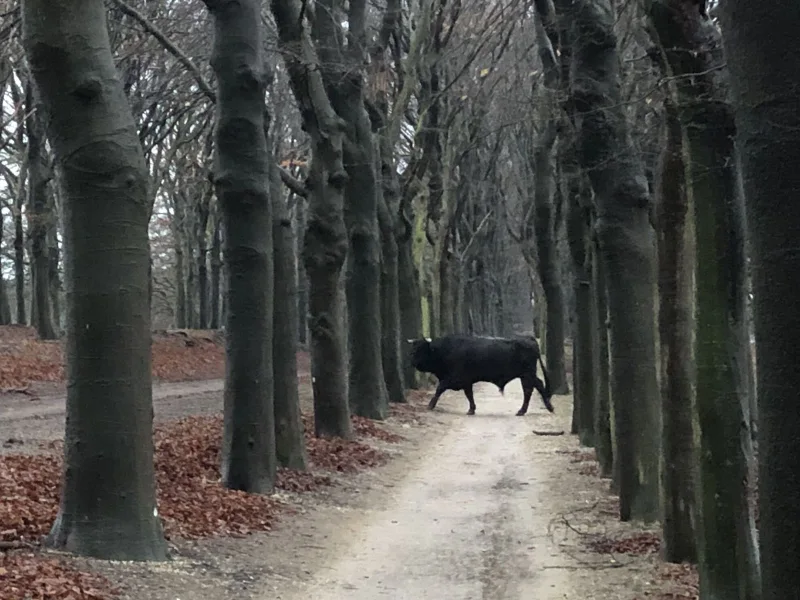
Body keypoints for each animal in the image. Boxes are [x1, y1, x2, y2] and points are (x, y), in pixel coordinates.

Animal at [410, 332, 552, 418]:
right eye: (413, 349)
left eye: (420, 349)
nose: (413, 363)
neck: (445, 350)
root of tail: (528, 338)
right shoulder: (466, 381)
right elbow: (469, 395)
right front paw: (471, 409)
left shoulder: (454, 378)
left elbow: (439, 389)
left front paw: (430, 405)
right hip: (526, 375)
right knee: (535, 387)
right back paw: (543, 407)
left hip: (527, 375)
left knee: (531, 389)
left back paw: (528, 410)